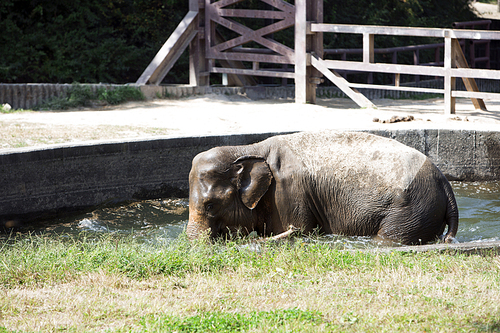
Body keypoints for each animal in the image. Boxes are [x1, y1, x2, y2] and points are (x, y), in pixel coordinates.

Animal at [186, 130, 458, 244]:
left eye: (210, 205)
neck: (249, 148)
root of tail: (445, 184)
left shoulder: (289, 193)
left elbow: (297, 230)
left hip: (411, 210)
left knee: (391, 238)